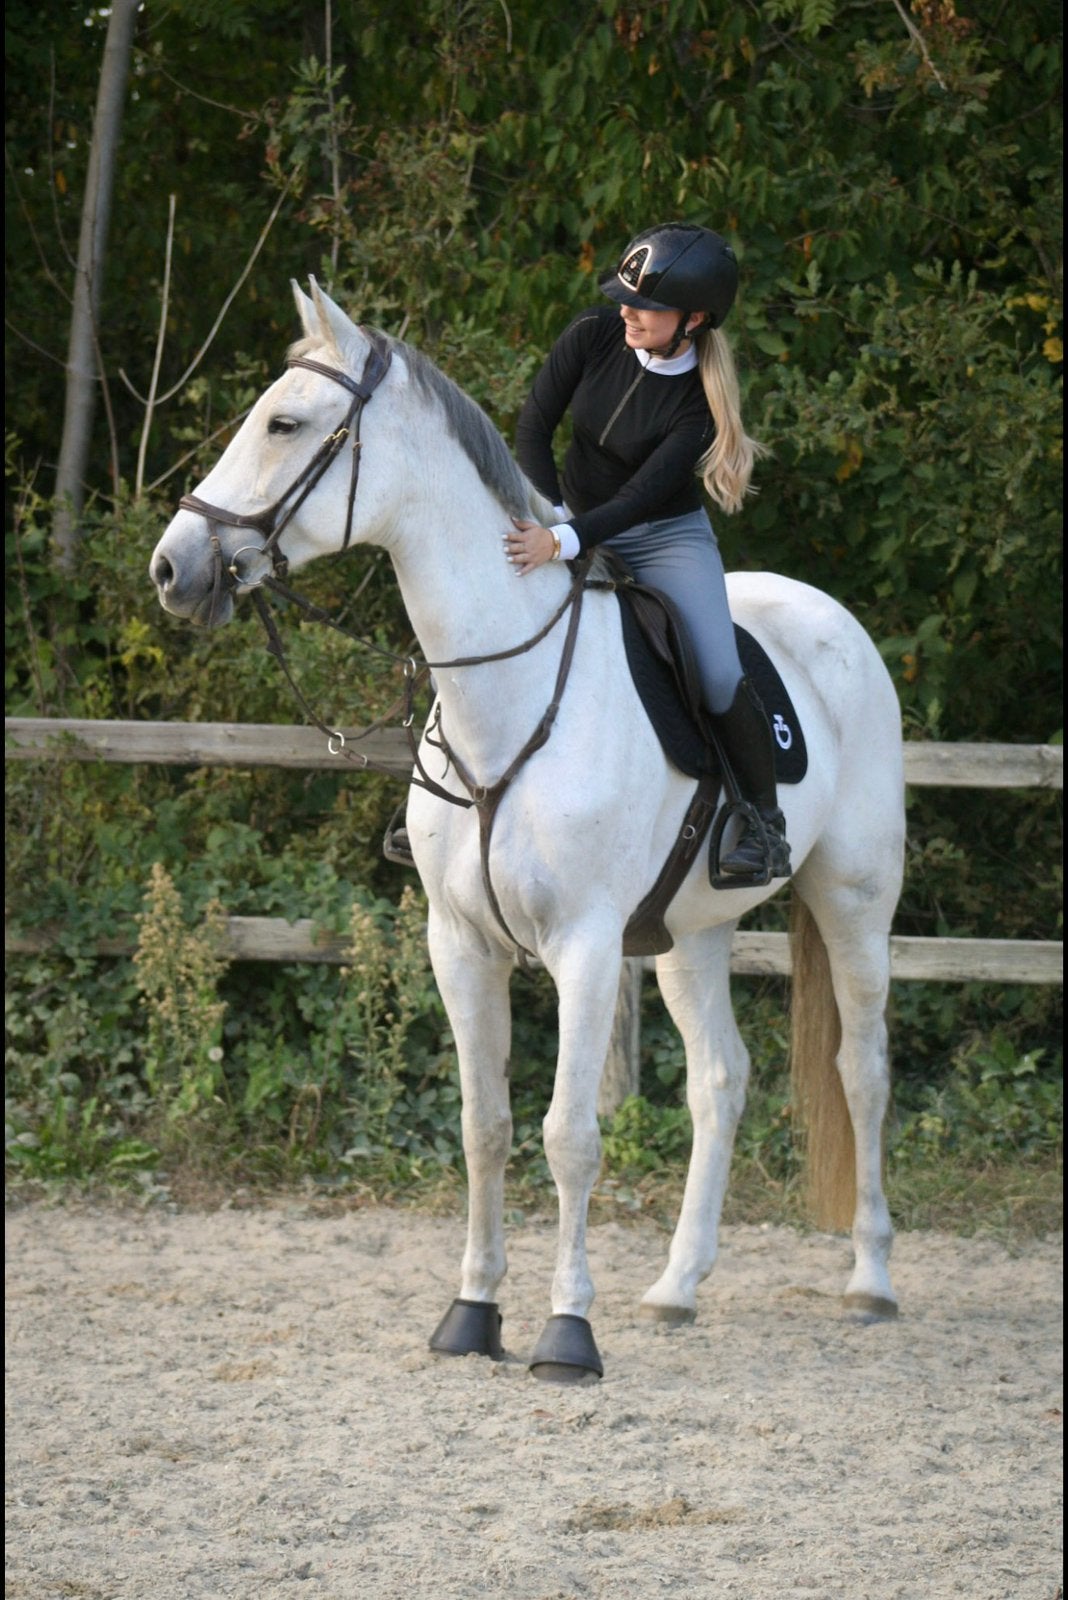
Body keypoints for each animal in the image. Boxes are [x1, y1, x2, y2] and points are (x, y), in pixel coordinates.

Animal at [150, 280, 906, 1383]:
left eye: (284, 424)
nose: (174, 568)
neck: (507, 692)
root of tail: (836, 621)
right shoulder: (461, 945)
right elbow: (484, 1127)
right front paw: (472, 1313)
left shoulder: (584, 949)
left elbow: (568, 1136)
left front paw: (566, 1330)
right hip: (688, 935)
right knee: (721, 1080)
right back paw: (676, 1288)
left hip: (853, 905)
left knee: (862, 1070)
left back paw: (871, 1280)